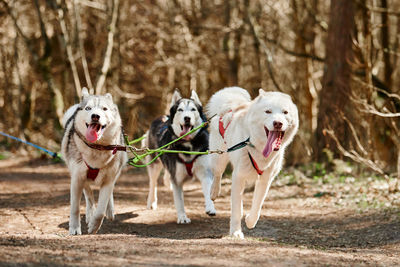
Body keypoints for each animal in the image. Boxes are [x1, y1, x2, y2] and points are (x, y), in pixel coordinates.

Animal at [61, 89, 126, 236]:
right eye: (88, 108)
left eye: (104, 109)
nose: (95, 116)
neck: (97, 148)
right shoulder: (77, 178)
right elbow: (75, 208)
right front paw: (74, 228)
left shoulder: (109, 180)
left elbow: (101, 210)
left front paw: (94, 226)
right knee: (88, 193)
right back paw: (90, 212)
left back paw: (109, 210)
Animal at [143, 90, 217, 224]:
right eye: (180, 110)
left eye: (193, 109)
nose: (187, 118)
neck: (188, 144)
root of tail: (162, 117)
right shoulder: (176, 177)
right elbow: (179, 200)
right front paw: (182, 217)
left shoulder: (205, 172)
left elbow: (208, 190)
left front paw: (210, 208)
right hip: (154, 164)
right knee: (153, 183)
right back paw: (151, 202)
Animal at [208, 87, 298, 240]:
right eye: (268, 111)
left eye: (285, 112)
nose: (278, 123)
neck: (256, 146)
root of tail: (232, 104)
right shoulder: (238, 176)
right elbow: (237, 209)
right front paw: (236, 232)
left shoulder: (265, 179)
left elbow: (258, 205)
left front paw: (250, 221)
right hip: (219, 157)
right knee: (217, 174)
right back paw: (214, 192)